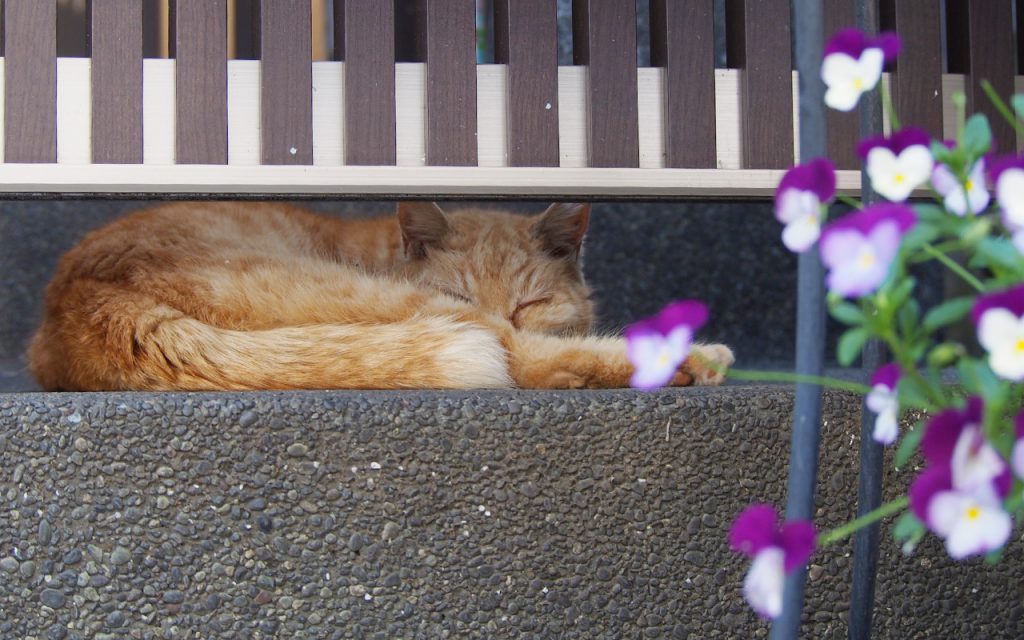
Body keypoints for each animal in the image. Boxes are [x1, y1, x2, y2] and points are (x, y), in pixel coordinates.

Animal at [28, 200, 733, 389]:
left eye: (531, 300)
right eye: (463, 290)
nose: (503, 311)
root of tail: (86, 300)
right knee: (524, 361)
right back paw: (690, 360)